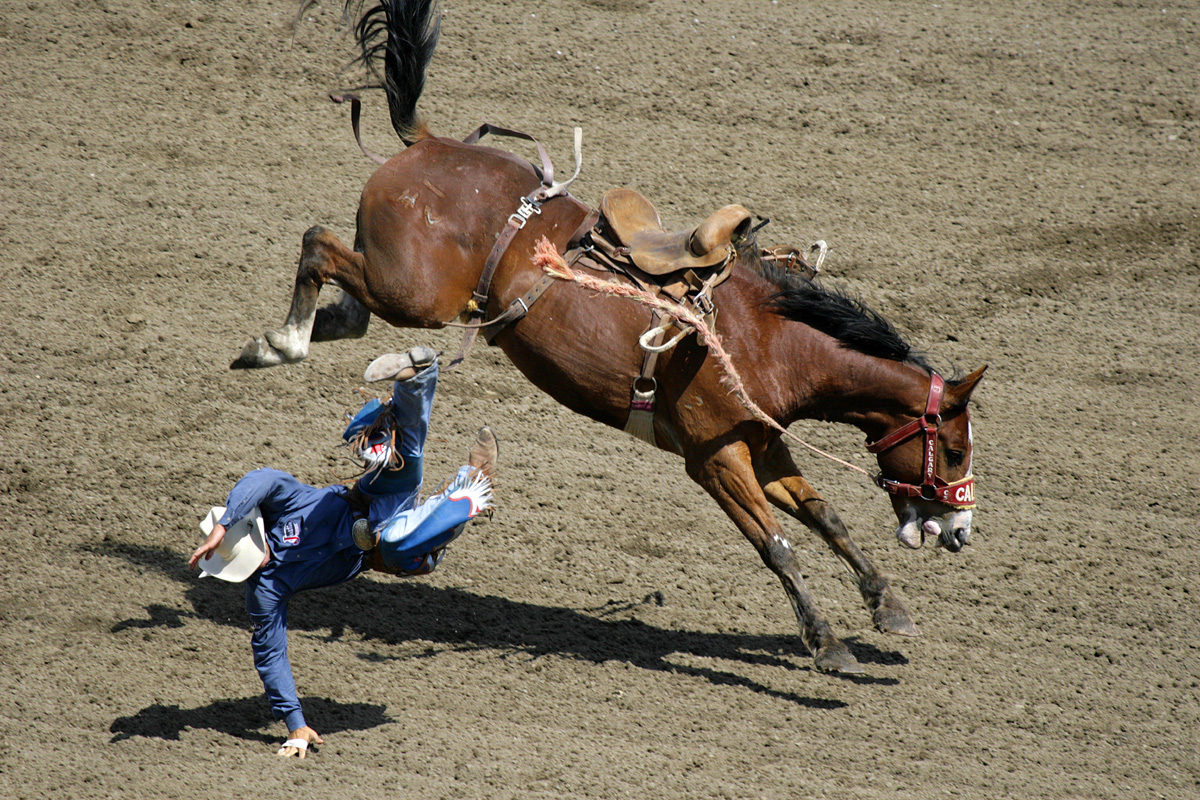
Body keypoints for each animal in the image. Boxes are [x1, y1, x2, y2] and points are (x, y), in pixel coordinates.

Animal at [234, 1, 984, 676]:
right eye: (951, 448)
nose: (959, 532)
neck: (768, 340)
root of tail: (431, 142)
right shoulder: (714, 459)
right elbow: (776, 544)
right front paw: (828, 643)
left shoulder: (762, 447)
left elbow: (826, 518)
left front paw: (888, 606)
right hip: (411, 291)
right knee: (318, 245)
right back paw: (280, 342)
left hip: (399, 288)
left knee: (349, 298)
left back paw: (329, 344)